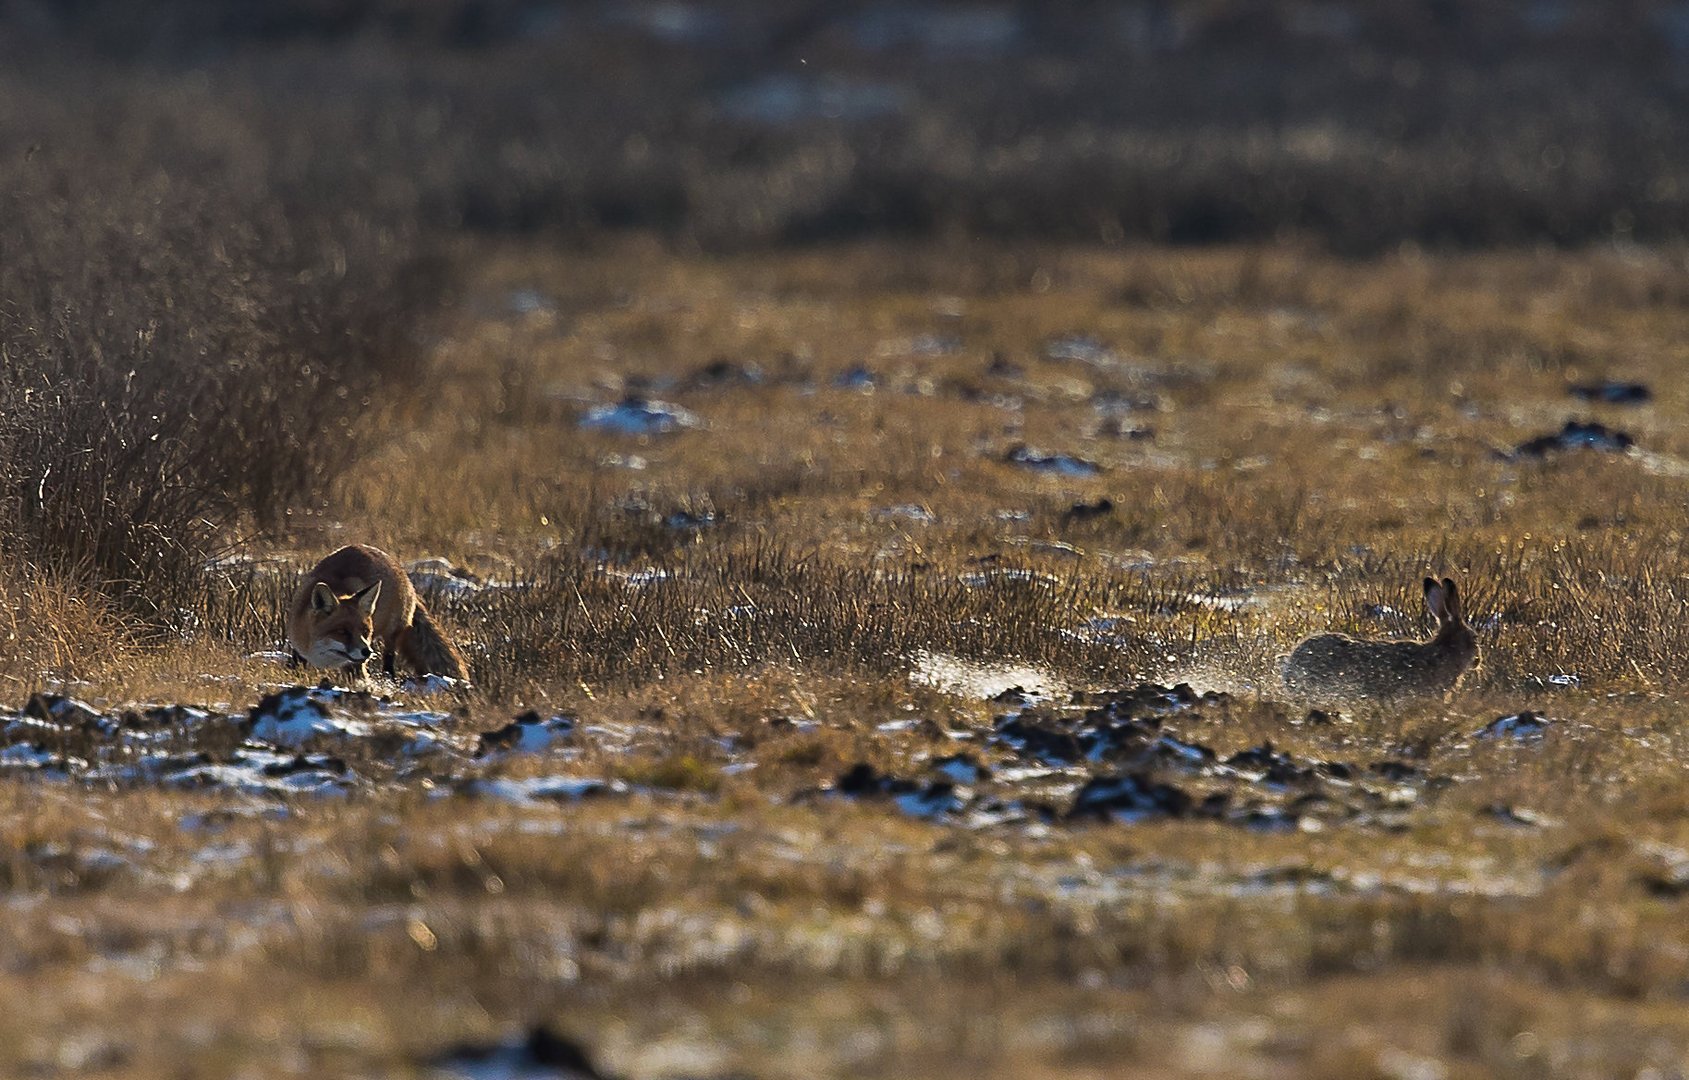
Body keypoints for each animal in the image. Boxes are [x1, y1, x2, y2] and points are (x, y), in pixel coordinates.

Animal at [283, 544, 469, 679]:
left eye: (366, 632)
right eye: (342, 632)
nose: (367, 652)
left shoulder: (358, 657)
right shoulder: (298, 646)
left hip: (392, 634)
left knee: (389, 659)